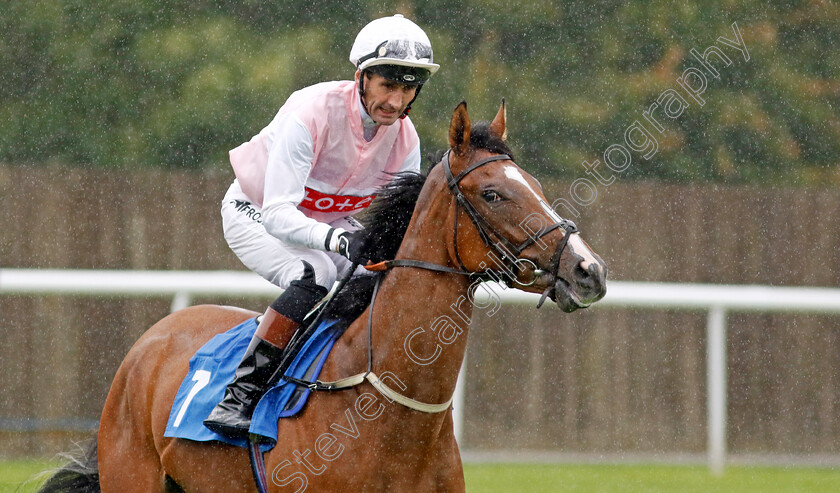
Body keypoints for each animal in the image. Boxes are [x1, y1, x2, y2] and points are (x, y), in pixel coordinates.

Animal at [39, 102, 608, 490]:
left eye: (534, 185)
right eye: (493, 193)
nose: (589, 270)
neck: (393, 413)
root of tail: (152, 339)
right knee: (307, 276)